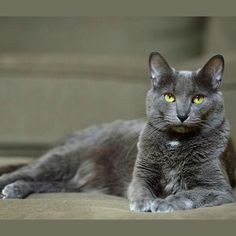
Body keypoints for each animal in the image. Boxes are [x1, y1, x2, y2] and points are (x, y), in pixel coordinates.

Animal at [0, 52, 236, 213]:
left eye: (198, 98)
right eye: (169, 97)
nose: (182, 114)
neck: (176, 142)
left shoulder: (220, 189)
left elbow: (190, 193)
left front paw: (164, 203)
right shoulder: (141, 174)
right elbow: (140, 188)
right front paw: (144, 203)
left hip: (72, 181)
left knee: (48, 183)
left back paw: (15, 189)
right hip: (64, 158)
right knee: (22, 172)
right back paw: (8, 187)